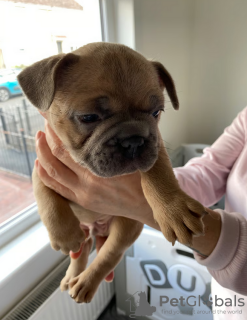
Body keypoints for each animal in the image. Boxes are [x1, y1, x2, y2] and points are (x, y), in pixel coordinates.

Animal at [17, 42, 206, 302]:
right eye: (88, 117)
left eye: (156, 113)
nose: (134, 140)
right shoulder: (42, 166)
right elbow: (46, 198)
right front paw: (63, 235)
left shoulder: (156, 147)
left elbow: (159, 174)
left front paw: (174, 210)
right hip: (88, 231)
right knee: (82, 249)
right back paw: (71, 276)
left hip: (126, 227)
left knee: (109, 254)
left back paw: (84, 282)